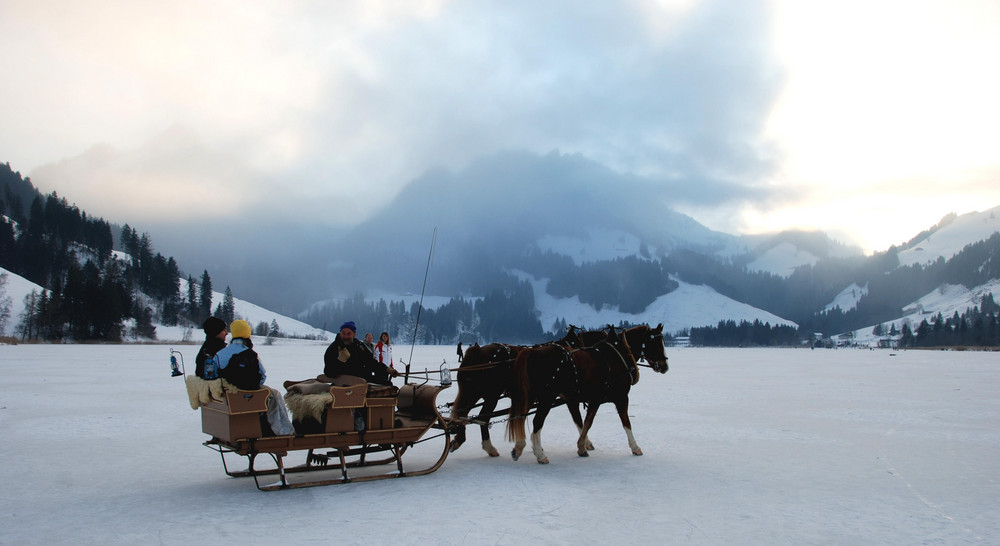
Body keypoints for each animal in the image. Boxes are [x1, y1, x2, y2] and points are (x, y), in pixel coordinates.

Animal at [508, 326, 664, 462]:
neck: (617, 355)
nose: (665, 366)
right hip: (547, 397)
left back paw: (519, 448)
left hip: (530, 395)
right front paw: (635, 447)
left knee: (520, 417)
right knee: (537, 421)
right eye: (656, 343)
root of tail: (534, 352)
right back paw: (539, 454)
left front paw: (583, 445)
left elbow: (582, 421)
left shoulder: (576, 398)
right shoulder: (620, 396)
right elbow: (622, 421)